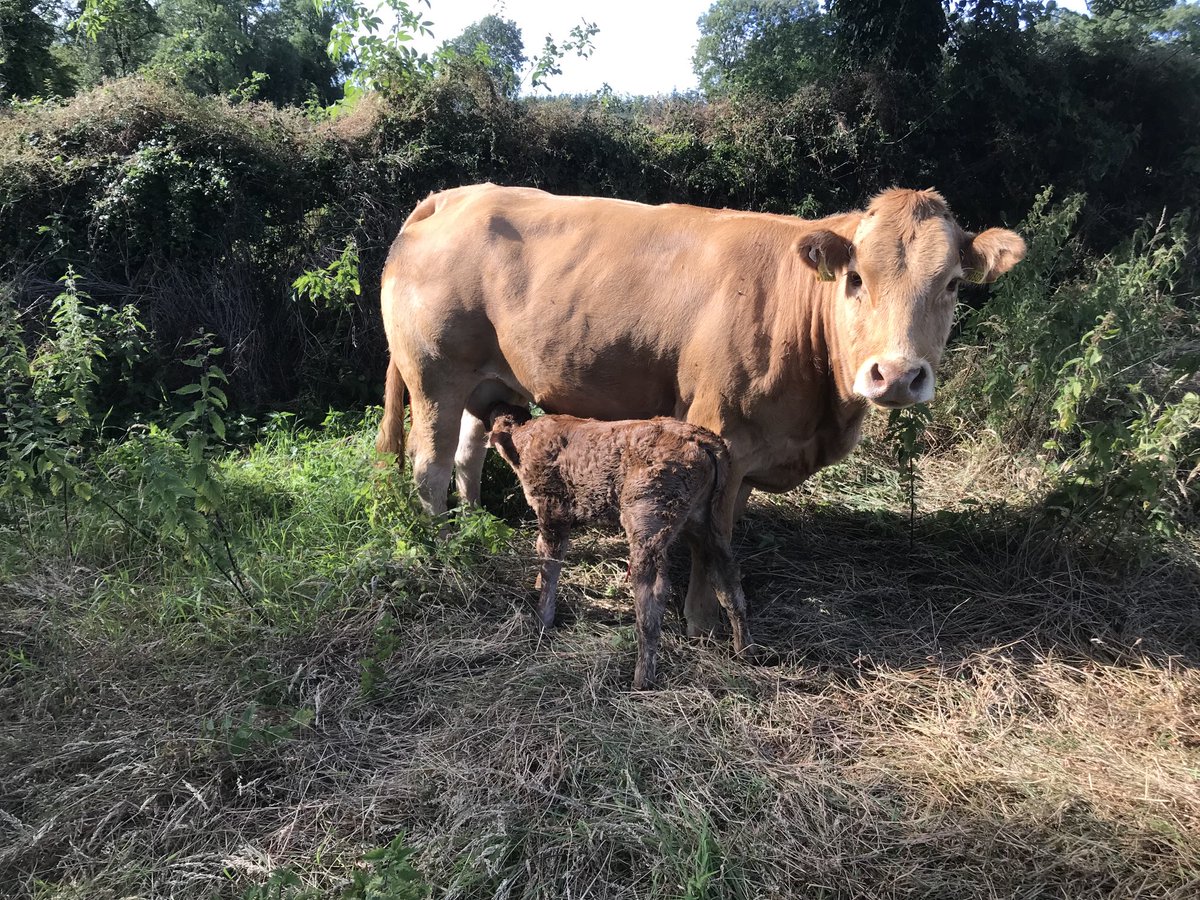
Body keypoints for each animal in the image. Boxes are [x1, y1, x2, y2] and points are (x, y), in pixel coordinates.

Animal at [376, 183, 1025, 637]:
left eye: (951, 284)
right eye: (856, 279)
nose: (895, 374)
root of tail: (451, 197)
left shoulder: (749, 453)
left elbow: (725, 530)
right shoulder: (718, 432)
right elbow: (705, 537)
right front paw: (700, 621)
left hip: (485, 381)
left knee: (469, 454)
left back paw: (476, 532)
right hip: (435, 374)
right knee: (430, 467)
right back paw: (446, 551)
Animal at [479, 402, 755, 689]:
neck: (525, 438)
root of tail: (700, 439)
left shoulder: (552, 510)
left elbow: (550, 566)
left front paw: (542, 620)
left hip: (648, 519)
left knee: (652, 594)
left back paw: (642, 678)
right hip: (710, 522)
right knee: (728, 581)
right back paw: (745, 651)